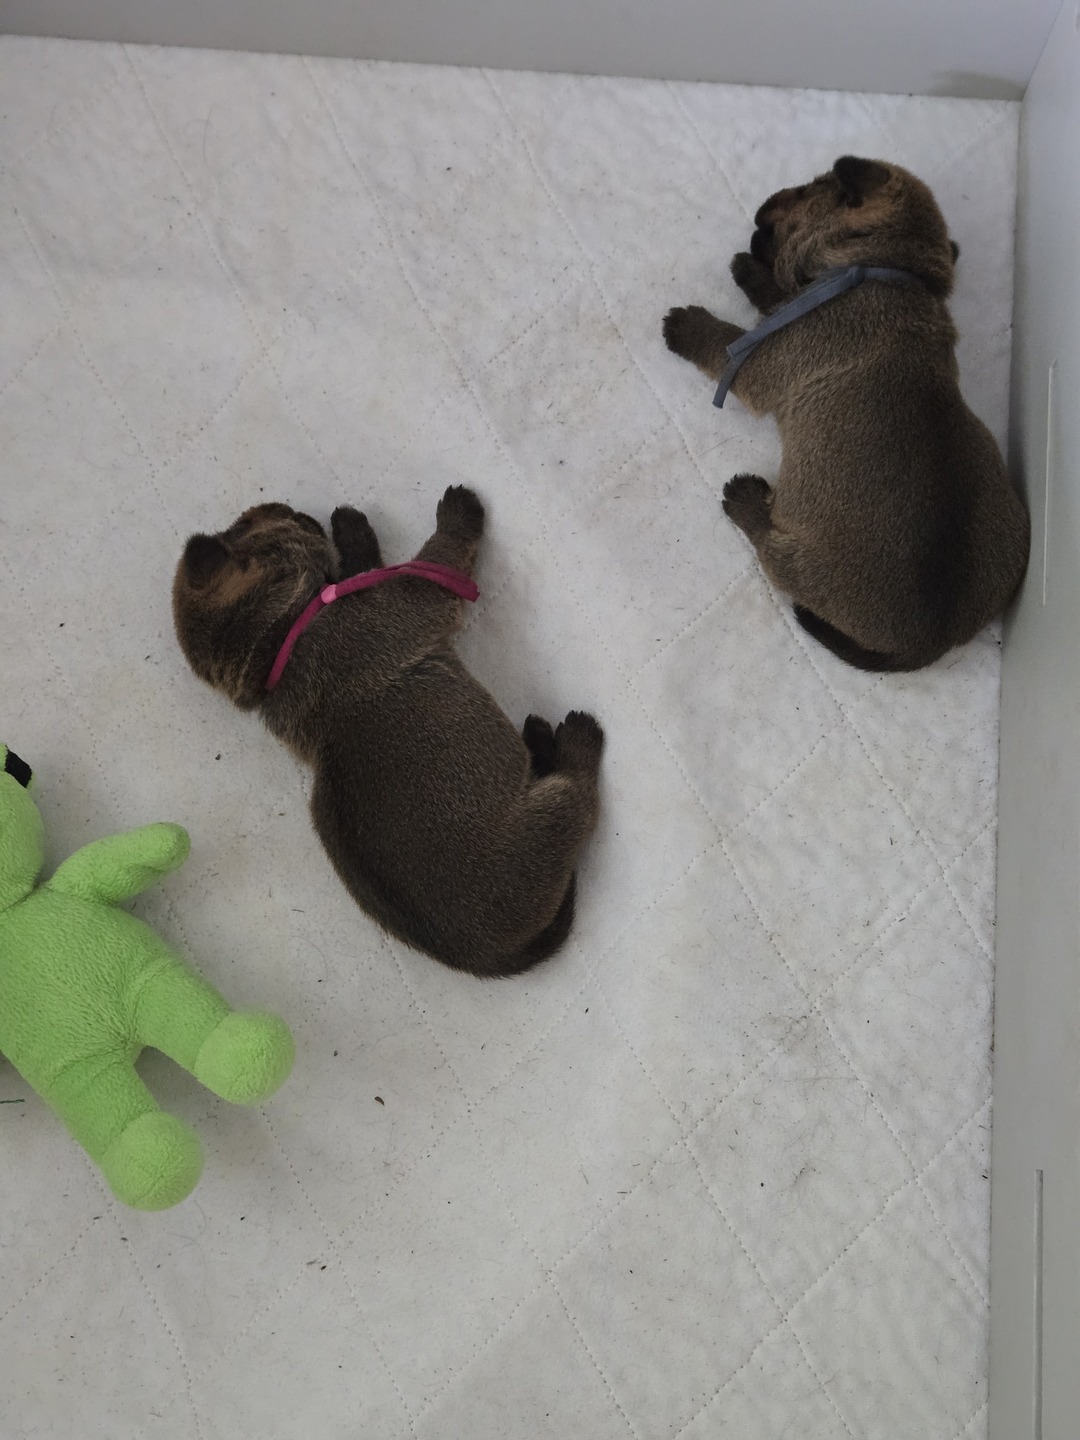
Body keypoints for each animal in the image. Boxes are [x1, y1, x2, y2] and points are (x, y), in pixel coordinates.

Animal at [173, 486, 603, 976]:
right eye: (243, 527)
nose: (280, 505)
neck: (279, 643)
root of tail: (489, 958)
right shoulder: (411, 597)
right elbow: (441, 551)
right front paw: (458, 511)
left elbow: (365, 564)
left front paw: (351, 528)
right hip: (552, 816)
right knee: (581, 798)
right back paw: (574, 740)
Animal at [663, 155, 1029, 671]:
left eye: (810, 189)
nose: (760, 213)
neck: (885, 271)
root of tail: (930, 644)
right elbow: (780, 295)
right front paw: (750, 272)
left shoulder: (763, 362)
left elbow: (723, 340)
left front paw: (685, 324)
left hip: (798, 561)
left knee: (769, 547)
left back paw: (744, 499)